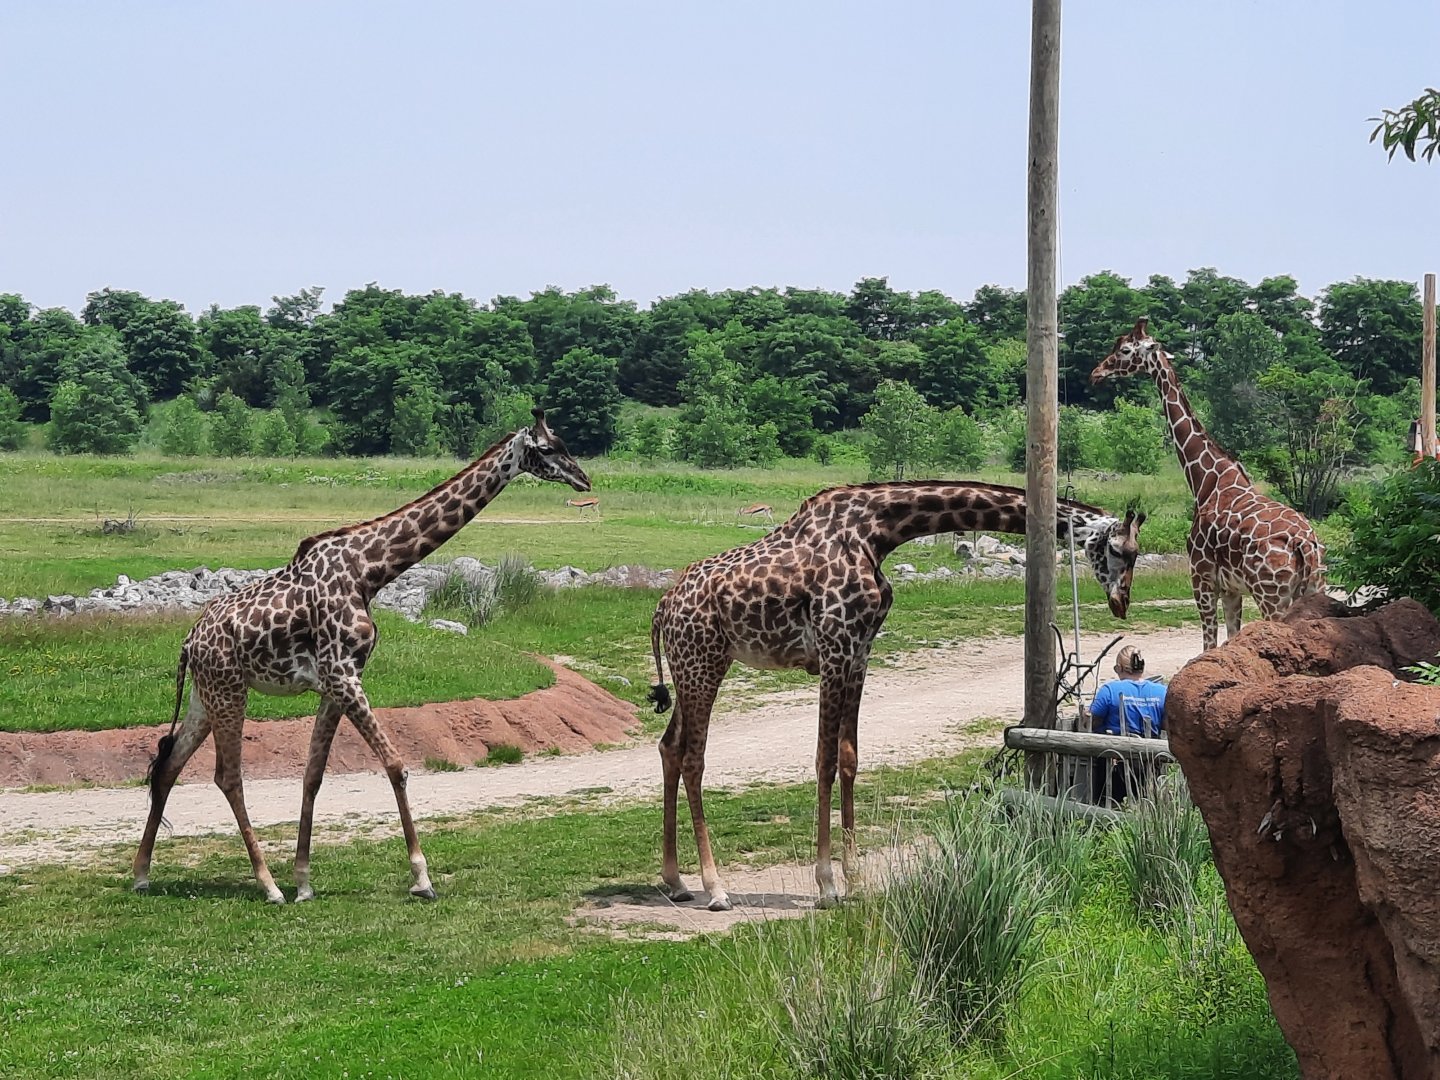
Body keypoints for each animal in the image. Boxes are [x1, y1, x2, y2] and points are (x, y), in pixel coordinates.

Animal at [132, 410, 591, 904]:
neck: (370, 570)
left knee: (169, 766)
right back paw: (267, 885)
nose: (584, 479)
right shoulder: (342, 675)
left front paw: (305, 882)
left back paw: (142, 874)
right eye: (548, 448)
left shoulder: (336, 682)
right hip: (229, 690)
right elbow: (395, 765)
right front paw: (421, 879)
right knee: (227, 777)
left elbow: (313, 775)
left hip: (205, 696)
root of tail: (189, 641)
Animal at [647, 480, 1144, 910]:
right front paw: (827, 885)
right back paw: (715, 888)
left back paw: (675, 882)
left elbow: (848, 758)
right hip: (702, 662)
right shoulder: (835, 648)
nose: (1121, 602)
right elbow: (824, 761)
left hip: (697, 665)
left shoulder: (859, 654)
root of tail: (661, 608)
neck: (879, 533)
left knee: (669, 746)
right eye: (1121, 550)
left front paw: (855, 879)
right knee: (693, 758)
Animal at [1090, 318, 1324, 651]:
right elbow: (1231, 639)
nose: (1096, 373)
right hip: (1314, 589)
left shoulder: (1201, 580)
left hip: (1271, 596)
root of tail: (1304, 544)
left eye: (1124, 350)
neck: (1205, 482)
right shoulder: (1231, 589)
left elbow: (1210, 644)